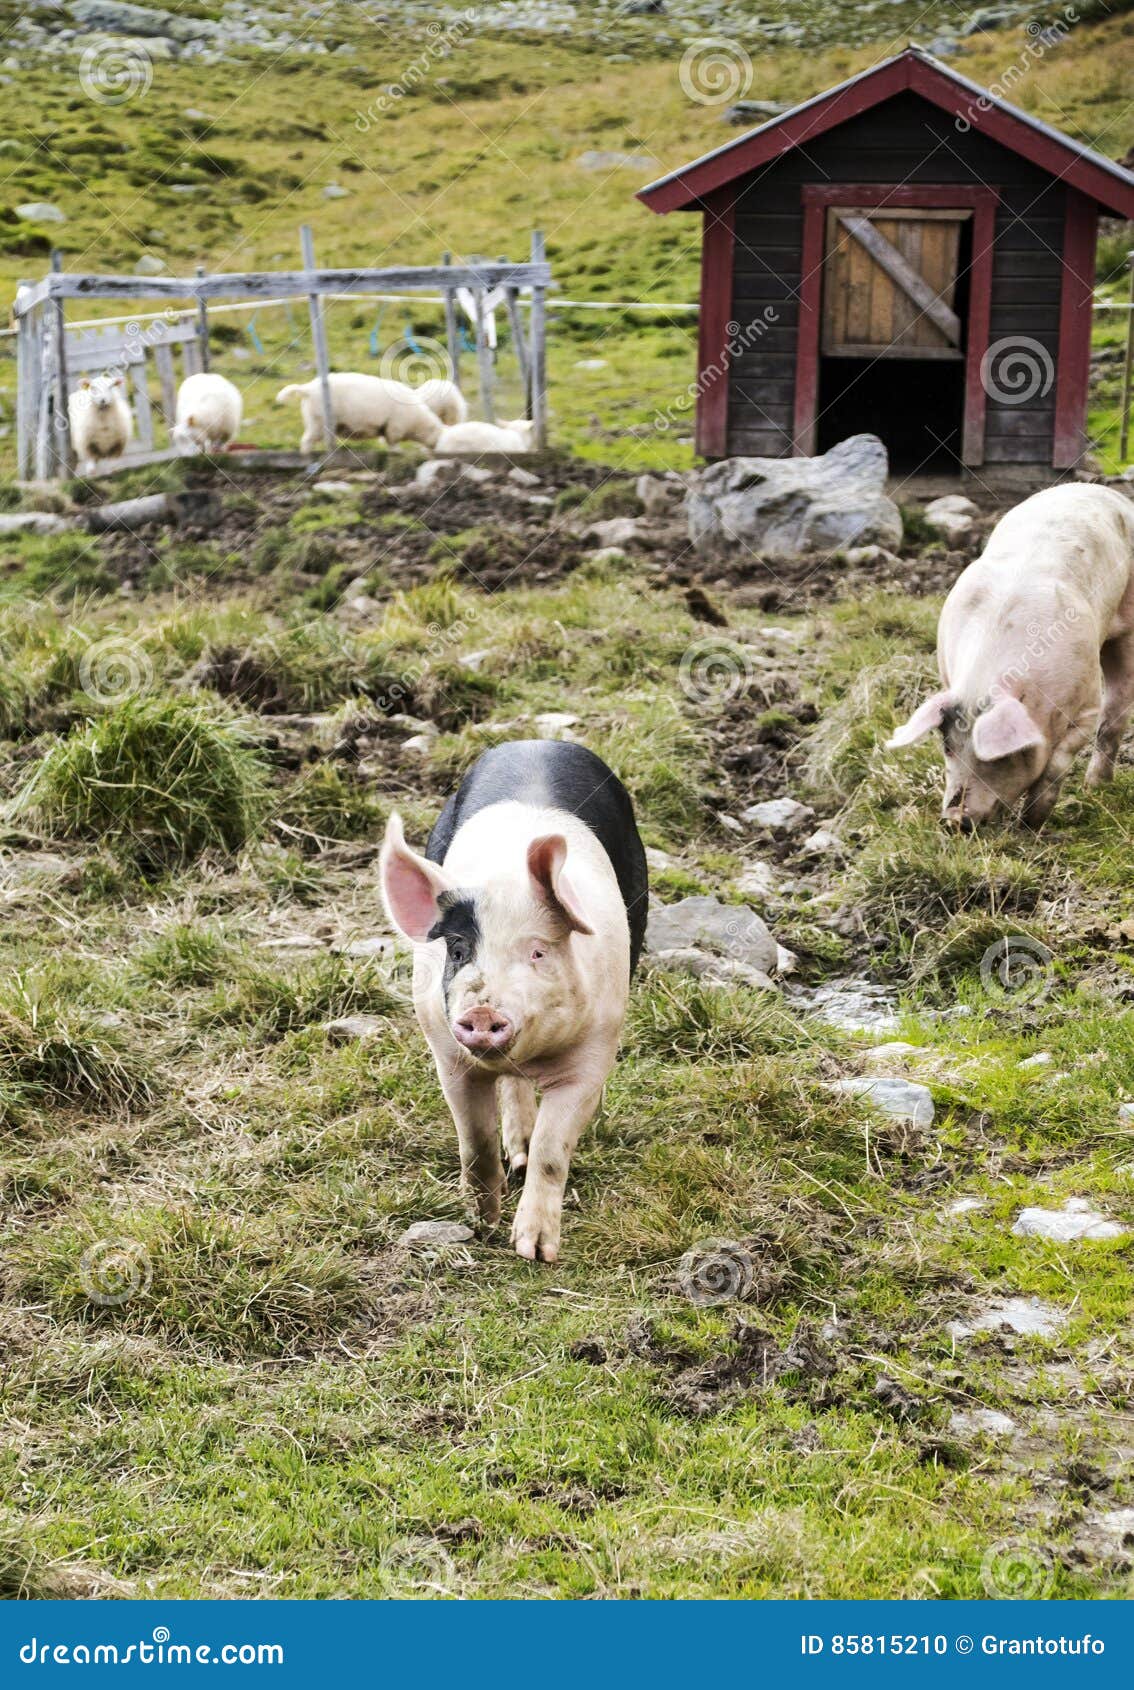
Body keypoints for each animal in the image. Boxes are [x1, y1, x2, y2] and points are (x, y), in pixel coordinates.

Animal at [380, 739, 648, 1262]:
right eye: (458, 950)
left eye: (538, 952)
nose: (483, 1011)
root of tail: (537, 742)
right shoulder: (447, 1054)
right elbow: (475, 1141)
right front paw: (481, 1223)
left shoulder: (594, 1049)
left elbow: (552, 1152)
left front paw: (535, 1251)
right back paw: (514, 1155)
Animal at [887, 483, 1134, 827]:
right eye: (947, 746)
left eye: (999, 757)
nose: (954, 820)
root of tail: (1095, 488)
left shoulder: (1086, 704)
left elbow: (1056, 765)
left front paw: (1030, 824)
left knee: (1116, 710)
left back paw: (1094, 787)